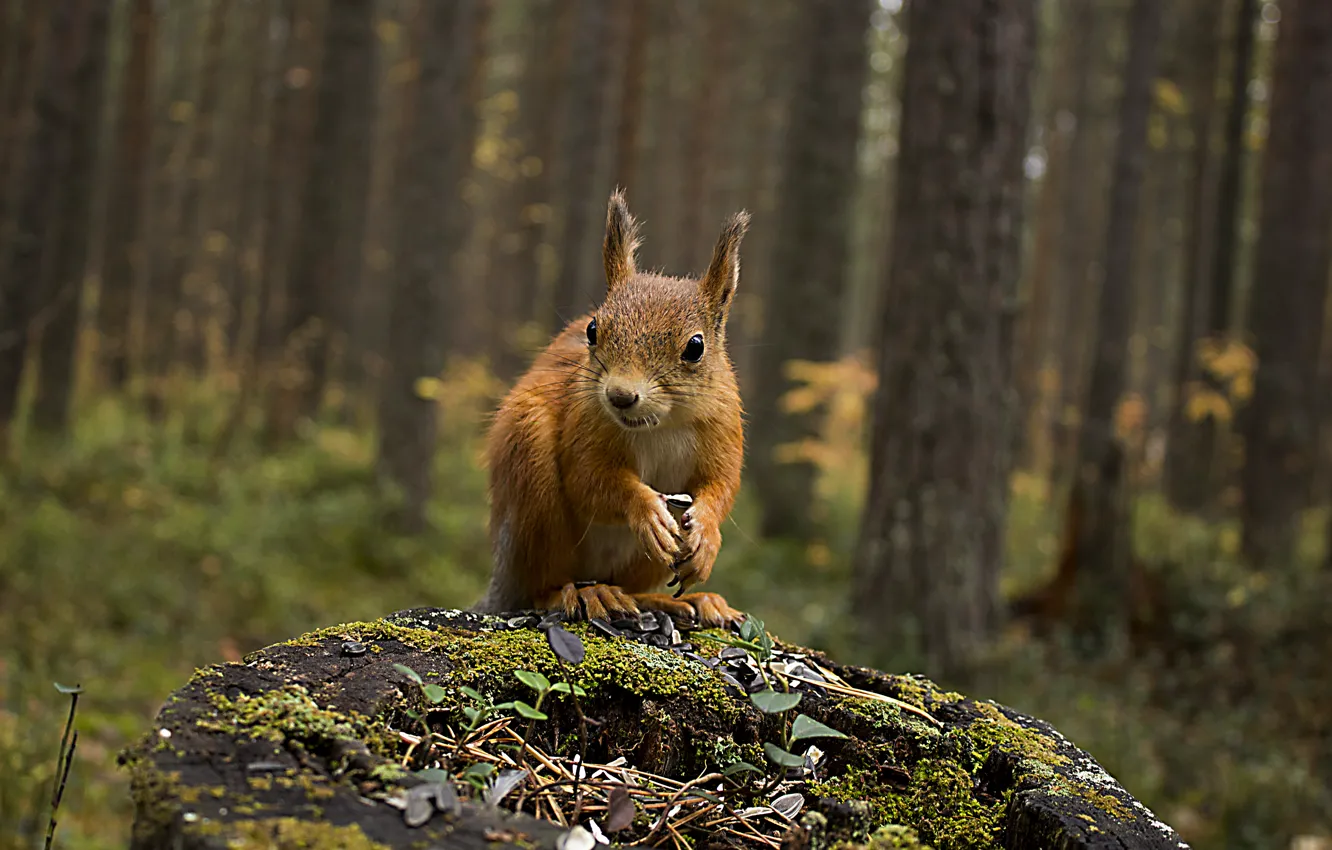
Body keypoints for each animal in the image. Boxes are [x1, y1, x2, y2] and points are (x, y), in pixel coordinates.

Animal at [474, 190, 749, 627]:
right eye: (592, 329)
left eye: (695, 347)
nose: (620, 395)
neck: (659, 425)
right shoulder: (584, 425)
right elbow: (589, 481)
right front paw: (646, 509)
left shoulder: (723, 430)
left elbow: (721, 487)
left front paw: (706, 535)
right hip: (532, 482)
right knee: (541, 588)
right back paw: (585, 593)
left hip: (643, 563)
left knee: (634, 588)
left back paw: (686, 601)